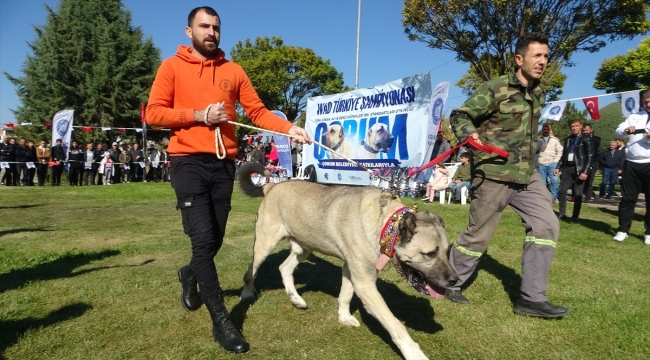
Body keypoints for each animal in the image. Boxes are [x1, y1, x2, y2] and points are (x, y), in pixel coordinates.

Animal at [237, 164, 456, 360]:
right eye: (430, 253)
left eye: (447, 251)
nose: (455, 280)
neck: (384, 223)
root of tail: (271, 187)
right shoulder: (365, 283)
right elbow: (395, 324)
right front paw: (414, 353)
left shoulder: (352, 270)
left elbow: (345, 295)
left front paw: (344, 318)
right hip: (265, 244)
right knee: (250, 273)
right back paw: (247, 293)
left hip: (304, 246)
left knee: (284, 267)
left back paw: (295, 298)